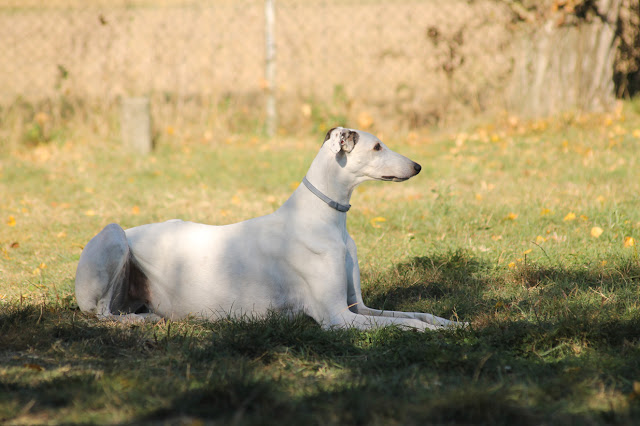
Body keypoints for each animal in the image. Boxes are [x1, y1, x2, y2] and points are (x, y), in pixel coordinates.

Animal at [75, 128, 458, 332]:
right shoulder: (336, 318)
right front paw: (433, 334)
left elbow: (418, 314)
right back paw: (145, 319)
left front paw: (457, 325)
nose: (418, 166)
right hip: (114, 235)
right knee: (103, 312)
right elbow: (409, 324)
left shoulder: (358, 307)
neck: (324, 218)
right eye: (377, 146)